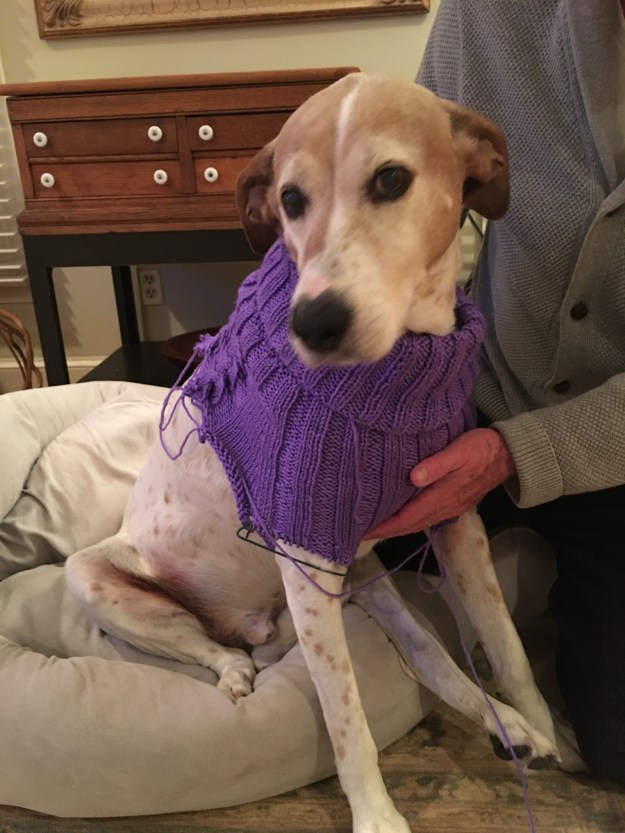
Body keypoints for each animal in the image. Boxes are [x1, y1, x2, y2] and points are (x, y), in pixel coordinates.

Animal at [66, 74, 583, 833]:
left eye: (391, 178)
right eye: (289, 199)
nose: (313, 322)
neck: (390, 379)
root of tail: (245, 622)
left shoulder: (455, 520)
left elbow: (509, 649)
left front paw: (546, 727)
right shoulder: (308, 562)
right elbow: (346, 721)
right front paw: (376, 816)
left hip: (355, 573)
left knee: (425, 649)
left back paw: (506, 723)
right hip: (95, 576)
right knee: (207, 644)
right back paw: (232, 667)